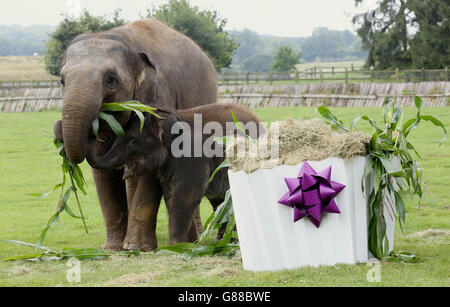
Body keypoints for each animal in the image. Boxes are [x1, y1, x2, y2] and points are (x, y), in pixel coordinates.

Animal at [53, 18, 219, 251]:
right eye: (62, 81)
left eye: (111, 79)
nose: (58, 128)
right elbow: (103, 175)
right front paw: (112, 248)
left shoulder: (157, 101)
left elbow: (148, 170)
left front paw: (135, 248)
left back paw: (196, 239)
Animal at [87, 103, 264, 248]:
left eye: (132, 142)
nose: (96, 131)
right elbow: (170, 195)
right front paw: (188, 244)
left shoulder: (193, 156)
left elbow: (185, 195)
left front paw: (175, 246)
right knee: (221, 202)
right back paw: (225, 241)